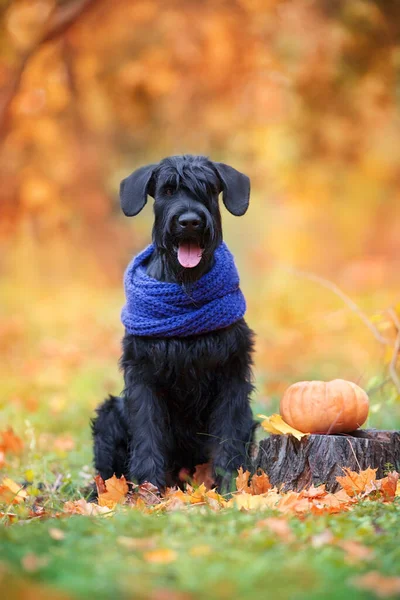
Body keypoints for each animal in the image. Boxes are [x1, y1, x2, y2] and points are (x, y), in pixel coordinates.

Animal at [93, 155, 255, 492]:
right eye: (167, 190)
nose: (190, 221)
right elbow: (147, 436)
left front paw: (230, 488)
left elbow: (229, 434)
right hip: (109, 414)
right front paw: (149, 490)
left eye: (208, 188)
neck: (186, 289)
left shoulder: (232, 373)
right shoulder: (143, 375)